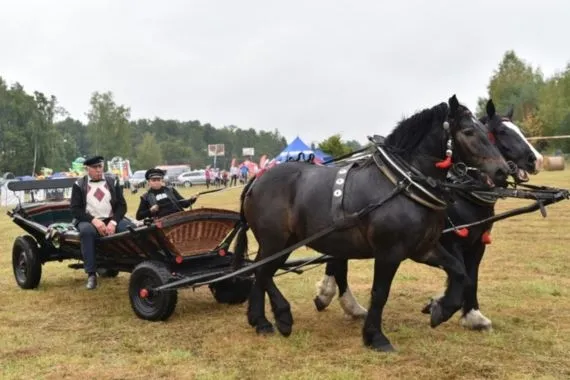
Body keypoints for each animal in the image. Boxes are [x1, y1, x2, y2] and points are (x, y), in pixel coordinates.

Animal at [233, 96, 508, 352]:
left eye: (487, 132)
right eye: (469, 132)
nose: (502, 170)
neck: (403, 184)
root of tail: (257, 179)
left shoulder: (424, 248)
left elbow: (460, 272)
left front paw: (441, 310)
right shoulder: (389, 252)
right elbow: (380, 292)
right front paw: (375, 337)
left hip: (285, 241)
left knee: (261, 272)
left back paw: (261, 322)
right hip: (276, 241)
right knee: (262, 271)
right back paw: (282, 316)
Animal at [312, 99, 540, 332]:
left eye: (519, 130)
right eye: (502, 131)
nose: (535, 159)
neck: (462, 190)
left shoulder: (477, 243)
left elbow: (471, 276)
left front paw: (471, 314)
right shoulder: (450, 242)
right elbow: (464, 275)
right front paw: (444, 305)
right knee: (338, 263)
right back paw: (337, 299)